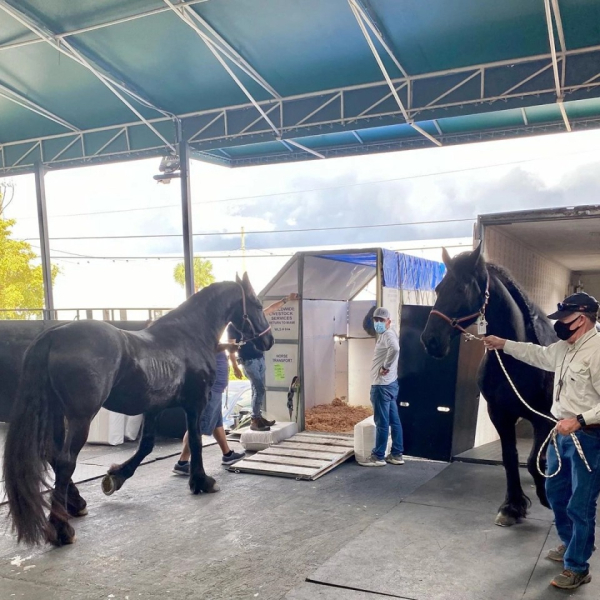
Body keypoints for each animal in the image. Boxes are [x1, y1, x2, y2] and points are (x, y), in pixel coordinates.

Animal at [2, 274, 274, 548]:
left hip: (58, 415)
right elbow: (195, 441)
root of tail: (54, 335)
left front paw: (117, 476)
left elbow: (146, 446)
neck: (189, 335)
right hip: (80, 418)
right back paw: (61, 529)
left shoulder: (153, 408)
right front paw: (201, 481)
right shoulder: (195, 403)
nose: (268, 340)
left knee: (53, 455)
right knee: (65, 461)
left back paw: (76, 504)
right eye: (257, 305)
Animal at [420, 246, 556, 528]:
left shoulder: (544, 420)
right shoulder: (500, 415)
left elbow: (532, 460)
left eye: (461, 288)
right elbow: (510, 459)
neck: (518, 359)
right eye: (438, 288)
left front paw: (545, 497)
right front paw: (512, 507)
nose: (431, 340)